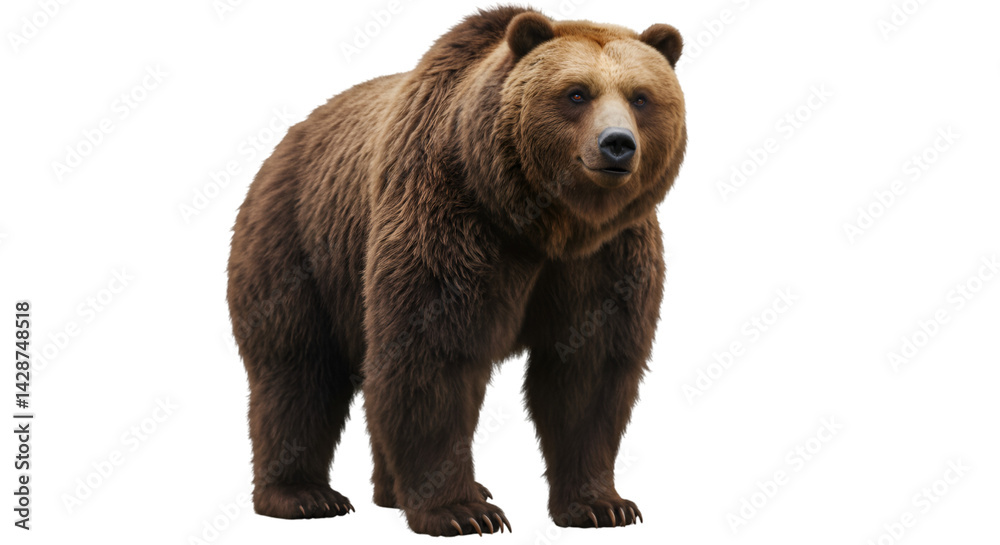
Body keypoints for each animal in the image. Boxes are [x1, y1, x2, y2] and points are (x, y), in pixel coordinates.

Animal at [227, 5, 685, 537]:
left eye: (641, 96)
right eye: (576, 93)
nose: (617, 144)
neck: (544, 222)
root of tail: (286, 142)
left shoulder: (606, 256)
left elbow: (588, 369)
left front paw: (602, 505)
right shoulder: (452, 217)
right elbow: (433, 354)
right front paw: (462, 511)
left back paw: (390, 491)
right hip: (300, 245)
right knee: (298, 370)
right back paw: (305, 495)